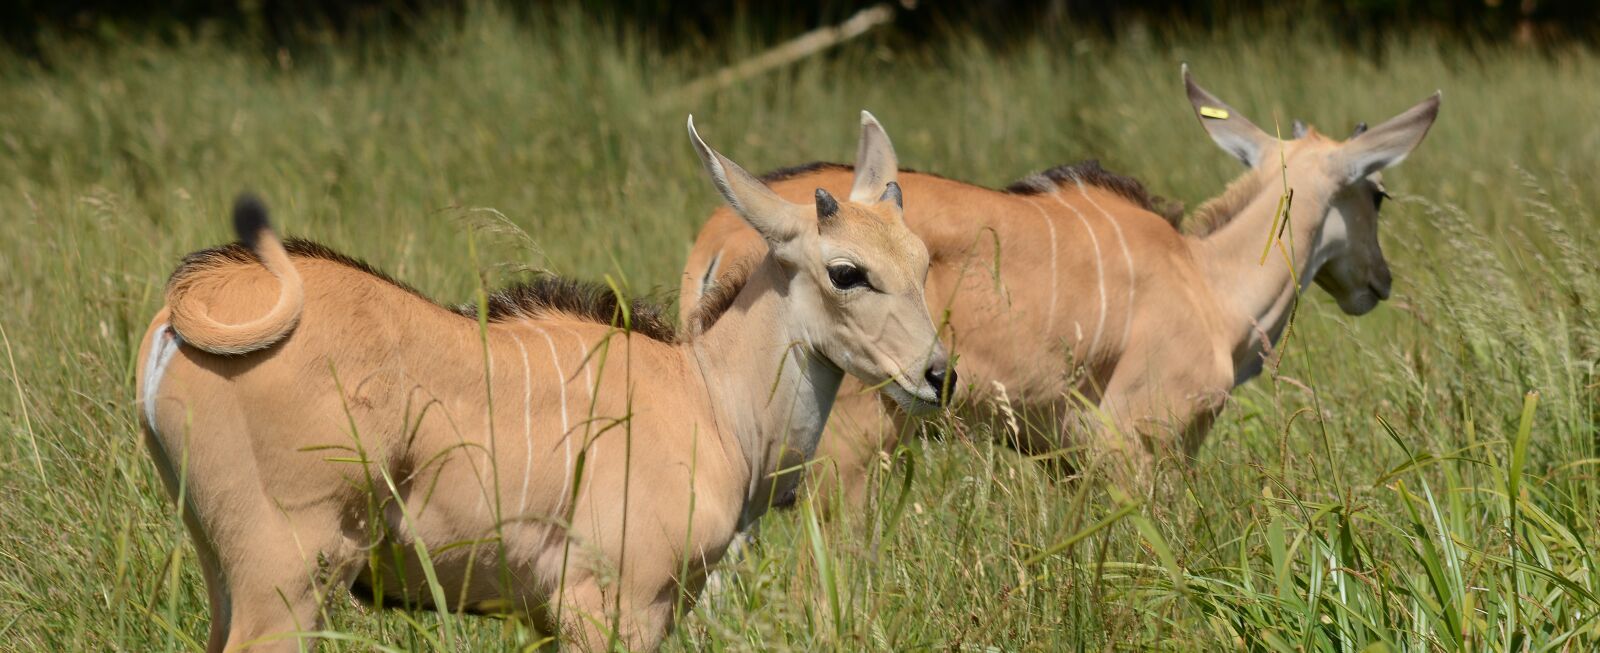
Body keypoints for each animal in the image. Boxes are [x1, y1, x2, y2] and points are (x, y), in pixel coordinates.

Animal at [135, 112, 948, 651]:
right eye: (847, 271)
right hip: (290, 575)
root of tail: (184, 308)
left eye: (920, 258)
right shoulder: (610, 603)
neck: (710, 396)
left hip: (225, 567)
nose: (939, 373)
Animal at [681, 67, 1440, 502]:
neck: (1205, 278)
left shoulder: (1068, 461)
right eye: (1378, 194)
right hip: (846, 451)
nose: (1379, 281)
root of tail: (720, 235)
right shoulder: (1138, 444)